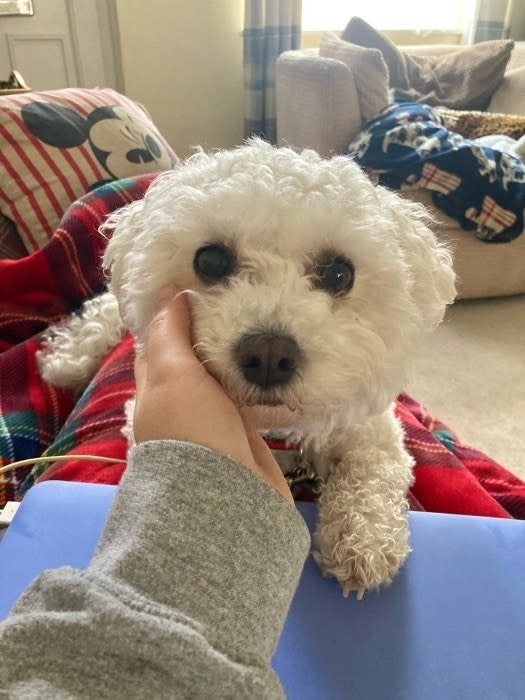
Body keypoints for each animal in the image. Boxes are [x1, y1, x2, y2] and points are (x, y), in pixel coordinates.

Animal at [37, 139, 454, 600]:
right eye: (210, 260)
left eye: (339, 273)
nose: (269, 355)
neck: (276, 433)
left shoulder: (374, 431)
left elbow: (374, 475)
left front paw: (362, 541)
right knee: (102, 312)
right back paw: (63, 362)